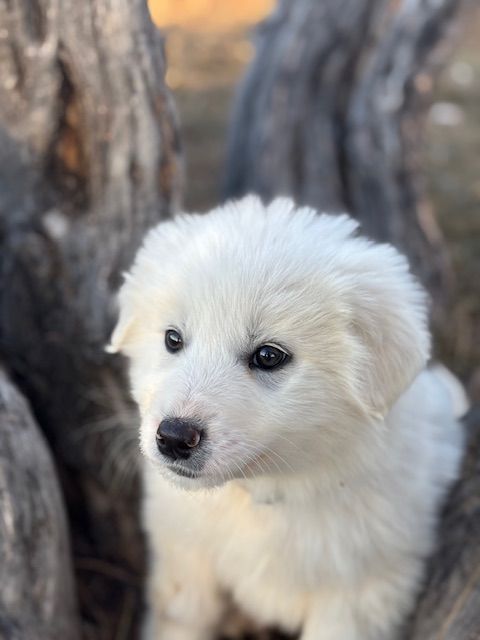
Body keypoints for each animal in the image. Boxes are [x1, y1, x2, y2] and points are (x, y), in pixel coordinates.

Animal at [109, 196, 466, 640]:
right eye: (172, 338)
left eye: (268, 356)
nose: (174, 437)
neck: (268, 493)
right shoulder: (185, 560)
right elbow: (182, 620)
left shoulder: (360, 594)